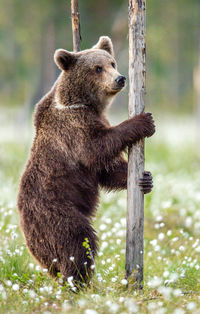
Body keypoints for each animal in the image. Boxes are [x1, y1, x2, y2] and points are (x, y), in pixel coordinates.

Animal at [17, 36, 155, 284]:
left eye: (112, 63)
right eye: (97, 68)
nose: (120, 78)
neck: (82, 103)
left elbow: (105, 169)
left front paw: (145, 179)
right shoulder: (73, 128)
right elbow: (96, 149)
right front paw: (143, 121)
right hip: (54, 212)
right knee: (77, 240)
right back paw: (80, 280)